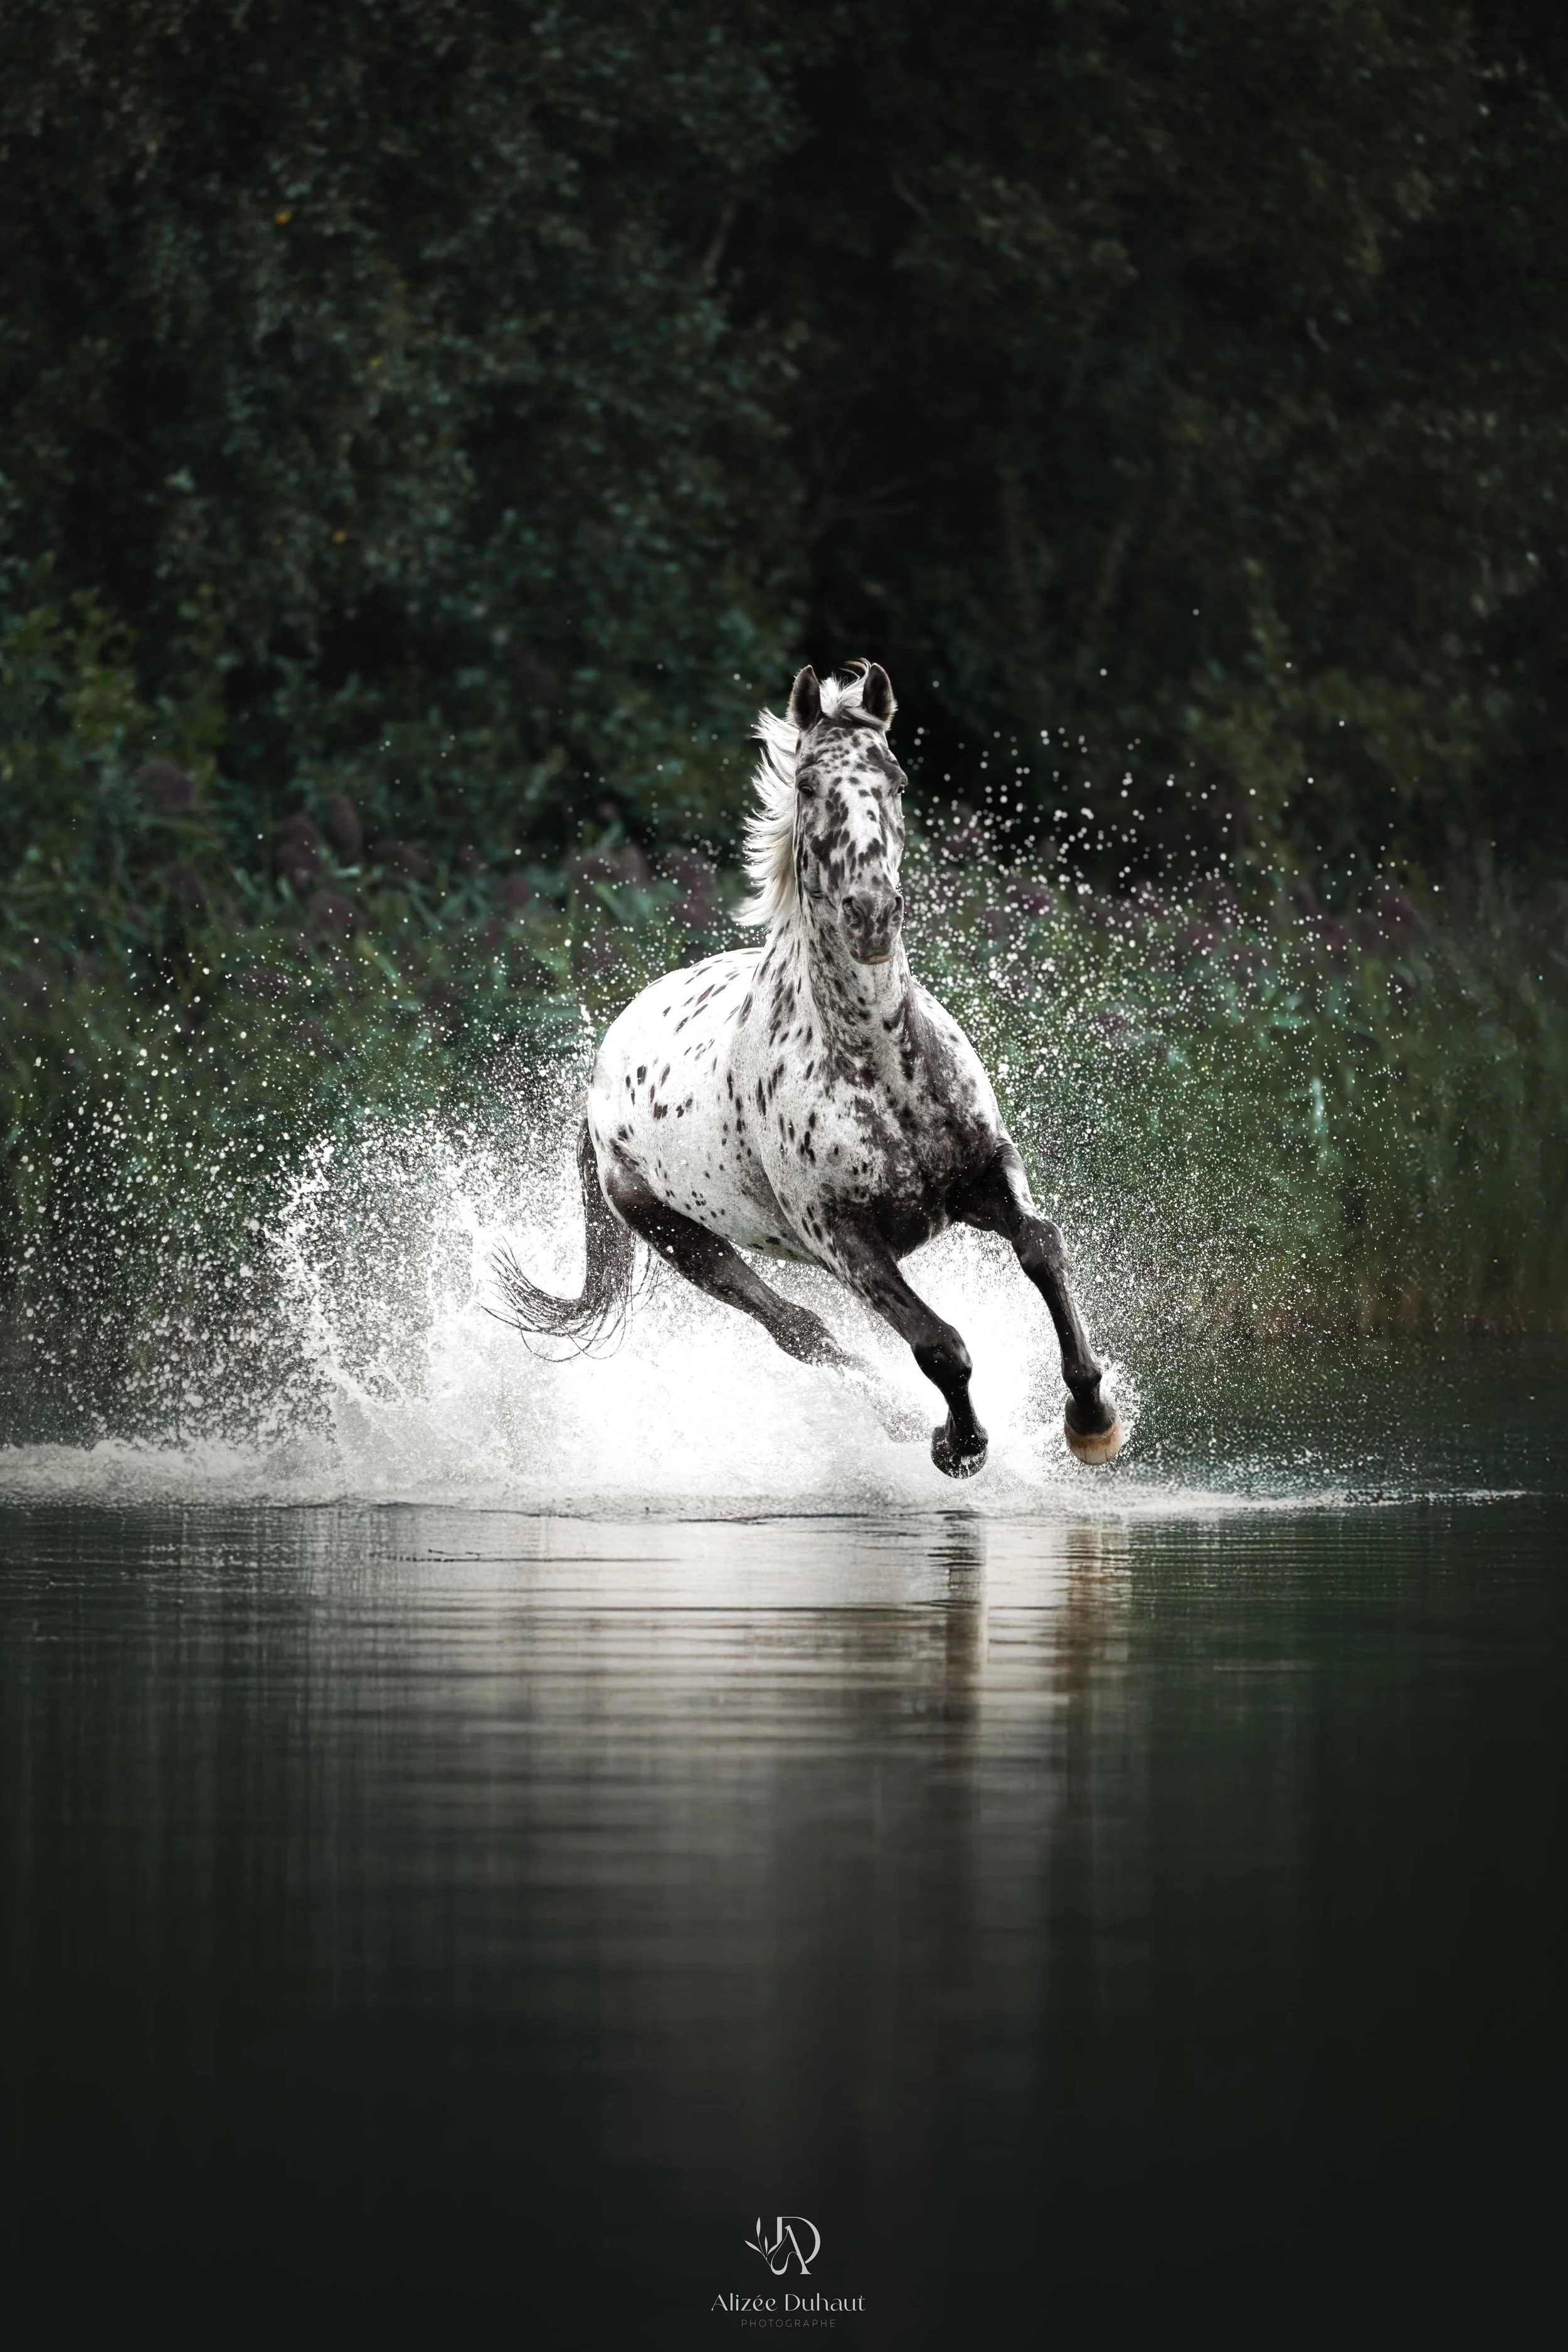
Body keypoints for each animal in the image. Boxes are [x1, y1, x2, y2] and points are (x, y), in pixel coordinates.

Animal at [496, 661, 1122, 1477]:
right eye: (805, 784)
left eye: (895, 776)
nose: (870, 913)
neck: (879, 1068)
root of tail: (601, 1079)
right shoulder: (845, 1243)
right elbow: (939, 1345)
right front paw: (960, 1445)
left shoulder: (986, 1173)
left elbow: (1042, 1249)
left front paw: (1092, 1420)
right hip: (685, 1243)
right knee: (798, 1331)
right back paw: (901, 1420)